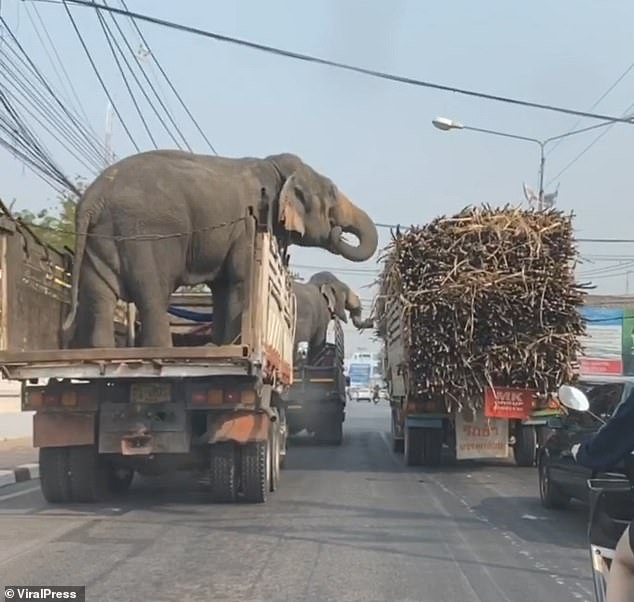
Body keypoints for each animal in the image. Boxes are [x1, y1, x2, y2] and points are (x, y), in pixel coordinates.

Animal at [60, 150, 376, 346]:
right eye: (332, 193)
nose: (338, 231)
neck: (275, 168)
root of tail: (92, 199)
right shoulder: (251, 223)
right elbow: (240, 279)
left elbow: (224, 287)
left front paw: (220, 345)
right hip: (146, 235)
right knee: (153, 295)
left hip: (100, 238)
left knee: (99, 297)